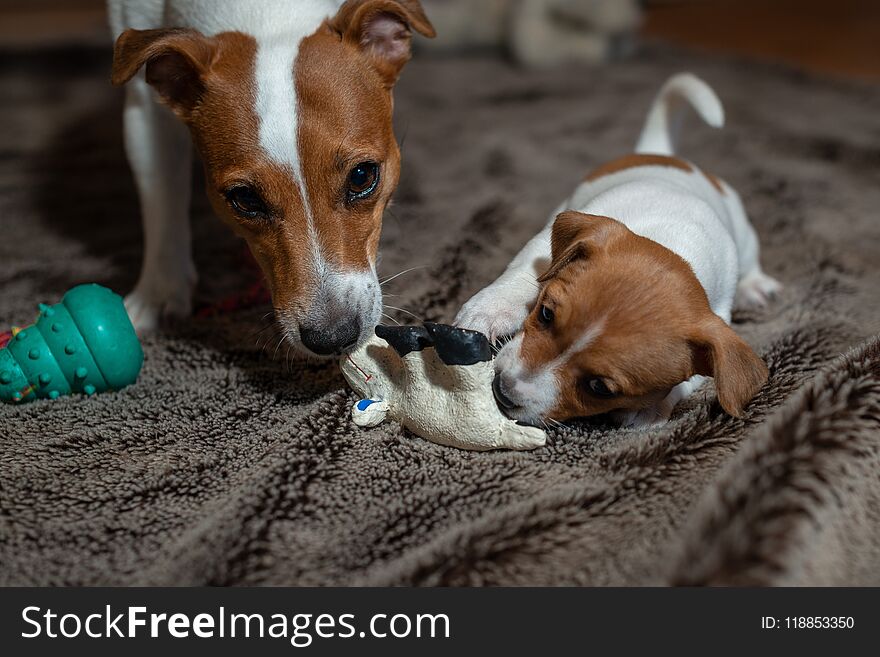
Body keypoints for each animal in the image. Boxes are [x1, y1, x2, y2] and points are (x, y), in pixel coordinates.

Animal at [108, 0, 434, 356]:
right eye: (245, 198)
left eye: (362, 176)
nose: (332, 338)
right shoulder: (142, 106)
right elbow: (160, 200)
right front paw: (159, 292)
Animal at [458, 74, 780, 428]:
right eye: (545, 314)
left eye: (599, 387)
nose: (502, 390)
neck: (671, 239)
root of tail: (658, 152)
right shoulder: (549, 243)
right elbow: (522, 274)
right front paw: (488, 312)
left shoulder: (718, 323)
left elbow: (694, 377)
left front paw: (651, 408)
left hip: (745, 236)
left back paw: (755, 287)